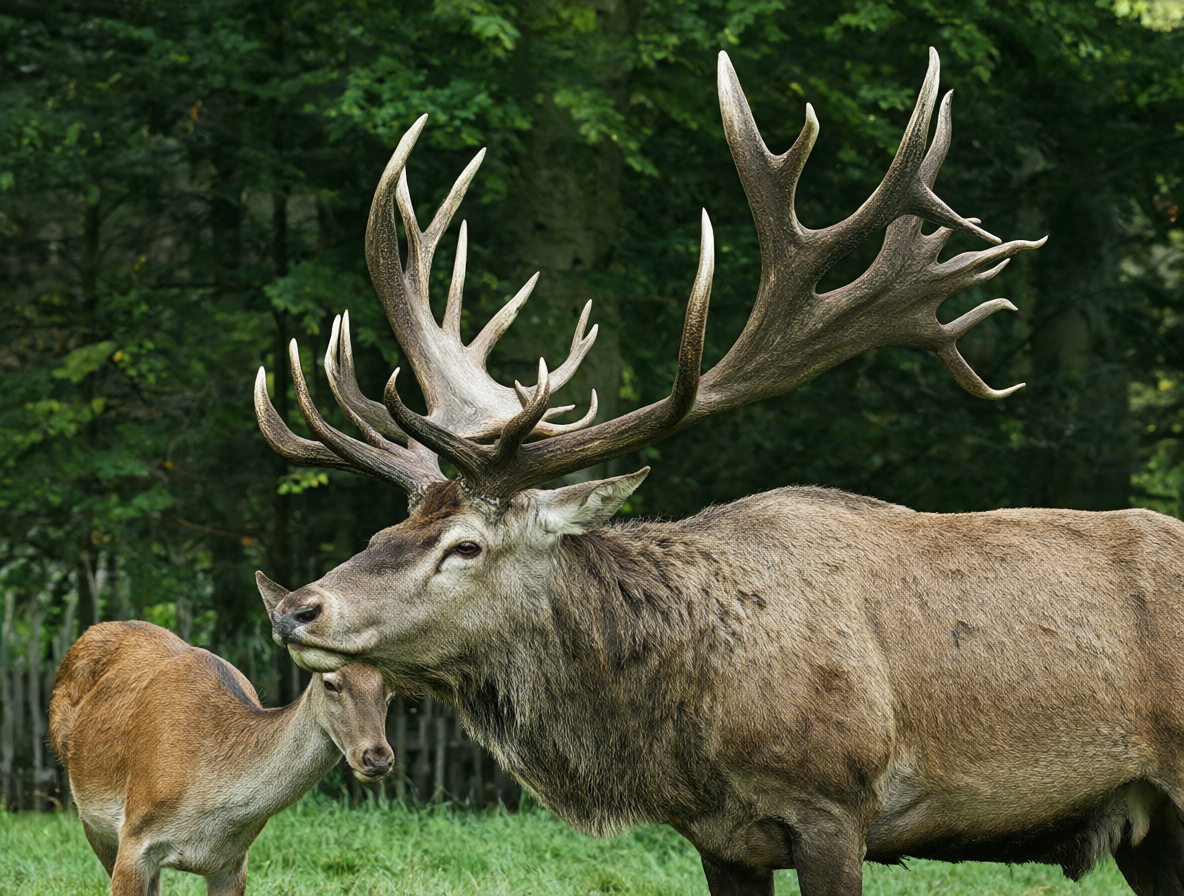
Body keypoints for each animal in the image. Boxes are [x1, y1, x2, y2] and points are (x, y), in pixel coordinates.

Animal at [48, 609, 394, 896]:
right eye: (331, 683)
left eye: (391, 691)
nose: (377, 758)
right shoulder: (132, 839)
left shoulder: (235, 863)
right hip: (90, 818)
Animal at [251, 47, 1184, 896]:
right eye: (388, 528)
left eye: (466, 546)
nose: (298, 608)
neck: (684, 736)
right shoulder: (720, 837)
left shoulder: (834, 802)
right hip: (1147, 828)